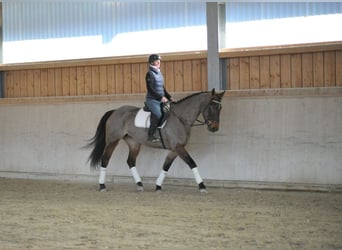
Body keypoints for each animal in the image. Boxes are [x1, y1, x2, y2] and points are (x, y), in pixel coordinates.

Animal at [86, 89, 224, 192]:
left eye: (220, 108)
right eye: (212, 106)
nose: (214, 128)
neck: (180, 118)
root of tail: (115, 111)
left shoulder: (175, 149)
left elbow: (166, 166)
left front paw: (158, 186)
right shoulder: (178, 147)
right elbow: (192, 163)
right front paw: (202, 186)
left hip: (134, 143)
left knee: (130, 161)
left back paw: (139, 185)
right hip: (113, 141)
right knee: (105, 160)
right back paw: (102, 186)